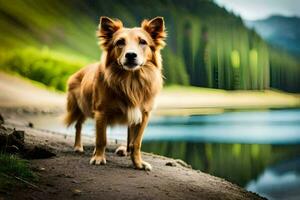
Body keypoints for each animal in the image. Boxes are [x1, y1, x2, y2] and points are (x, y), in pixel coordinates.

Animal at [64, 16, 166, 171]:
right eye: (120, 42)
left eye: (143, 42)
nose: (131, 55)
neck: (130, 81)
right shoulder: (101, 112)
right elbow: (101, 139)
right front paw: (98, 158)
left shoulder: (143, 115)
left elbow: (136, 143)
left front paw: (138, 163)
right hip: (81, 107)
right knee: (78, 125)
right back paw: (78, 147)